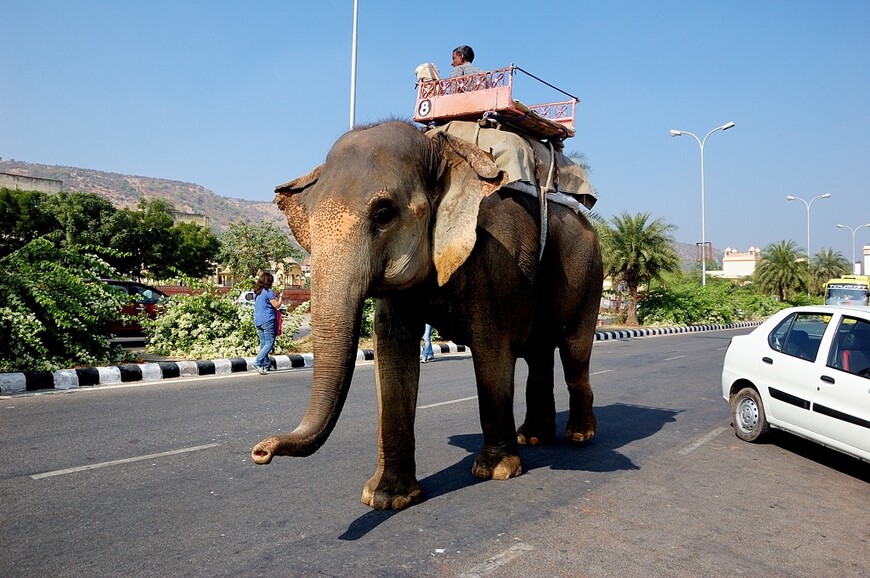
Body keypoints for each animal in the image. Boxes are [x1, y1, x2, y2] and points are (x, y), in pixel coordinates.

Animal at [255, 120, 604, 508]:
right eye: (311, 216)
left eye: (384, 214)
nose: (260, 451)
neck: (439, 150)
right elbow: (392, 352)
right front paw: (387, 496)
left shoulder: (496, 260)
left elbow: (491, 351)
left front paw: (496, 471)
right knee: (539, 354)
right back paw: (533, 437)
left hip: (590, 274)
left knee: (574, 353)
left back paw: (578, 436)